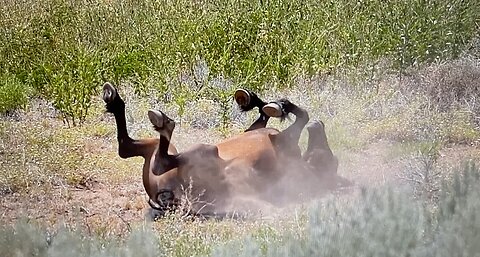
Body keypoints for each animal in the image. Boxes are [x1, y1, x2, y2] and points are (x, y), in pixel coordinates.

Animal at [102, 82, 348, 216]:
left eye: (331, 160)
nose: (319, 125)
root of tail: (167, 198)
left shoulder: (285, 139)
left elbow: (301, 115)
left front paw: (278, 105)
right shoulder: (273, 134)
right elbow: (269, 115)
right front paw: (260, 101)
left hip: (203, 150)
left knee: (157, 159)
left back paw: (163, 121)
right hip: (161, 149)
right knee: (127, 147)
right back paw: (114, 99)